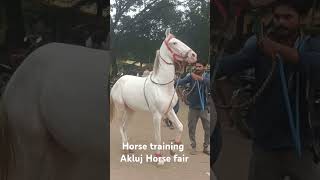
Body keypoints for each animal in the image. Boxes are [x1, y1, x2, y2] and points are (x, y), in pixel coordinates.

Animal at [110, 28, 198, 165]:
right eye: (174, 43)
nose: (193, 55)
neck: (162, 86)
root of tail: (118, 81)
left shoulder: (169, 110)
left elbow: (180, 126)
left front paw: (173, 149)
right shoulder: (157, 115)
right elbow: (158, 136)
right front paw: (159, 158)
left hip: (131, 110)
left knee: (124, 127)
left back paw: (129, 148)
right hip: (121, 108)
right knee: (120, 126)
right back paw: (125, 148)